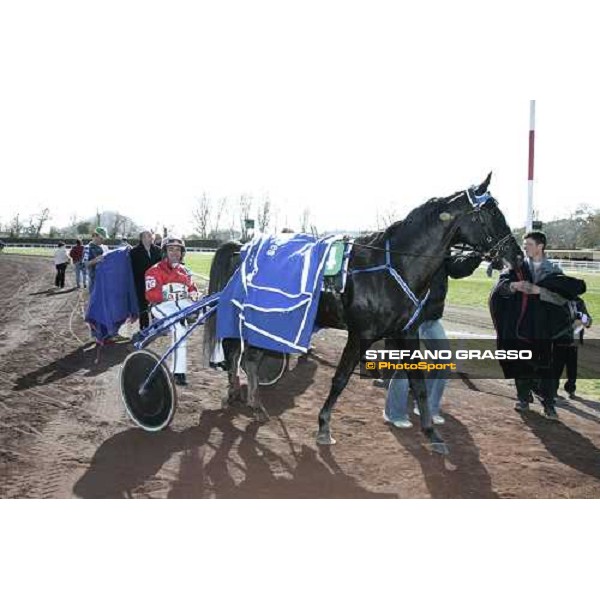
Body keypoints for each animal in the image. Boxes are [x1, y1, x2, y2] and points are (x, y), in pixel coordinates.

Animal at [204, 176, 524, 452]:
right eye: (492, 214)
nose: (517, 255)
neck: (390, 267)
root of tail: (242, 248)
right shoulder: (361, 334)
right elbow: (340, 379)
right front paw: (324, 427)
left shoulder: (406, 333)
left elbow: (419, 383)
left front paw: (432, 433)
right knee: (237, 352)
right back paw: (243, 398)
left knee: (248, 358)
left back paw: (248, 401)